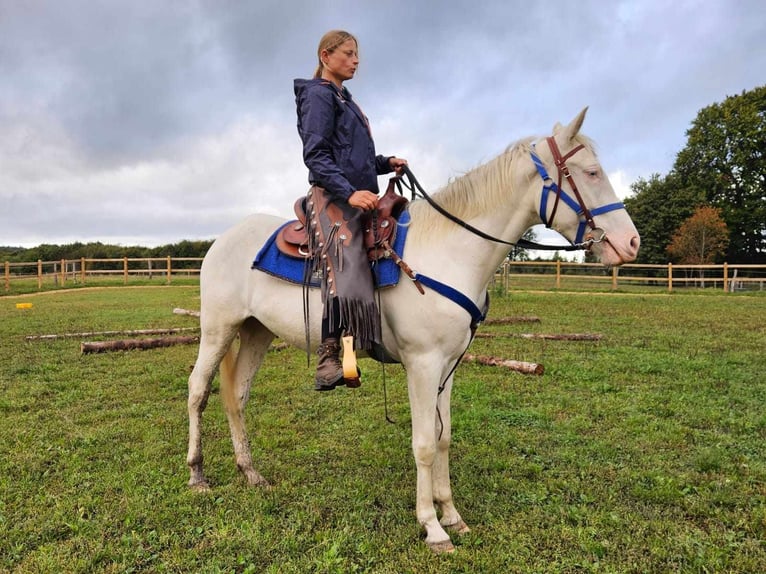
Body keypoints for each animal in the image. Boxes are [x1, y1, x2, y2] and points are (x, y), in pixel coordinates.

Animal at [186, 108, 640, 552]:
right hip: (218, 328)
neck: (449, 250)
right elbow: (422, 444)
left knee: (237, 397)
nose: (632, 243)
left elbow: (442, 437)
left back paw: (251, 473)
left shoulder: (448, 367)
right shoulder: (421, 365)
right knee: (198, 390)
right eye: (591, 172)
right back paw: (198, 475)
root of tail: (224, 239)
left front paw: (452, 515)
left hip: (256, 331)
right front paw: (432, 527)